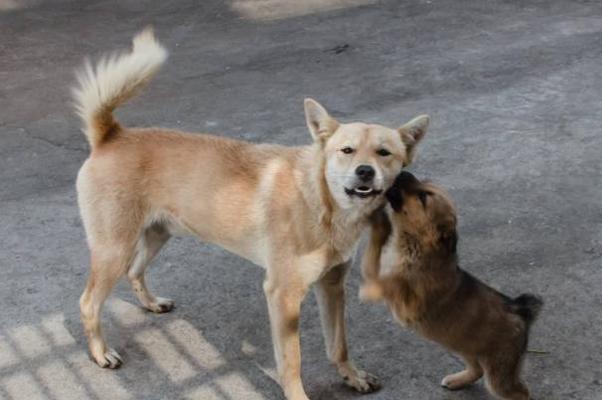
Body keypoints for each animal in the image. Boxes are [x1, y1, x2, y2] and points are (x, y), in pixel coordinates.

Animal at [72, 28, 428, 400]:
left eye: (384, 153)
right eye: (346, 150)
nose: (364, 172)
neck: (320, 201)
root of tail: (111, 135)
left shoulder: (332, 286)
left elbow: (338, 345)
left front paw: (352, 376)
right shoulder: (283, 295)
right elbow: (291, 362)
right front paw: (297, 394)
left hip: (157, 234)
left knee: (135, 271)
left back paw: (151, 304)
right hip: (114, 250)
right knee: (88, 303)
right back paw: (100, 353)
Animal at [358, 172, 540, 400]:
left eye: (423, 197)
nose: (402, 172)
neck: (417, 243)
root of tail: (520, 310)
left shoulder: (404, 300)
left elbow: (381, 277)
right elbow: (374, 253)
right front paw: (376, 217)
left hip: (499, 369)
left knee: (521, 392)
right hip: (462, 343)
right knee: (477, 369)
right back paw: (457, 380)